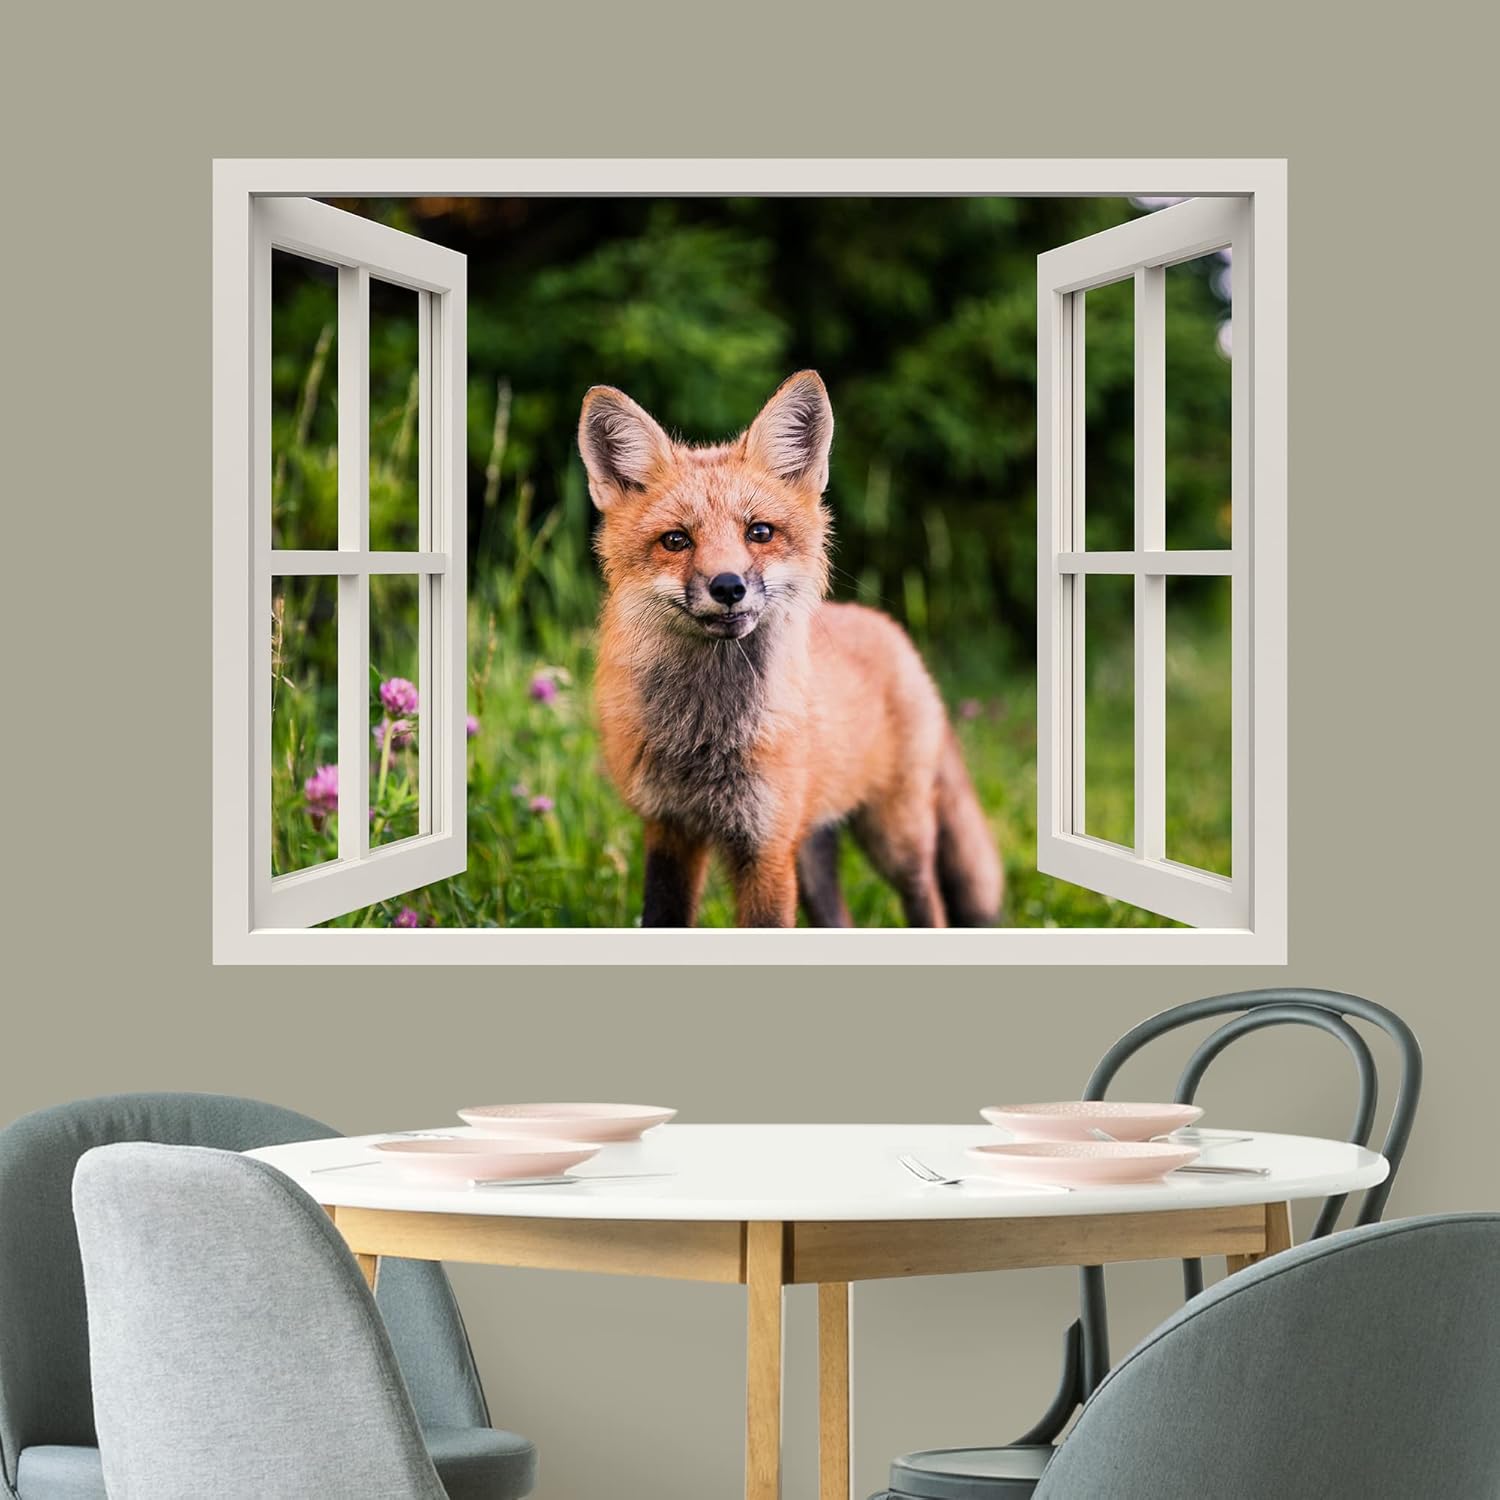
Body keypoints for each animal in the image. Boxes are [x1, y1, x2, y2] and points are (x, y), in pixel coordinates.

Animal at [579, 370, 1004, 929]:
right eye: (675, 540)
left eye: (759, 532)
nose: (728, 586)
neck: (707, 736)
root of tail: (889, 628)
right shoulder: (671, 829)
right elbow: (661, 916)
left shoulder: (766, 845)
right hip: (812, 851)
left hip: (895, 837)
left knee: (929, 901)